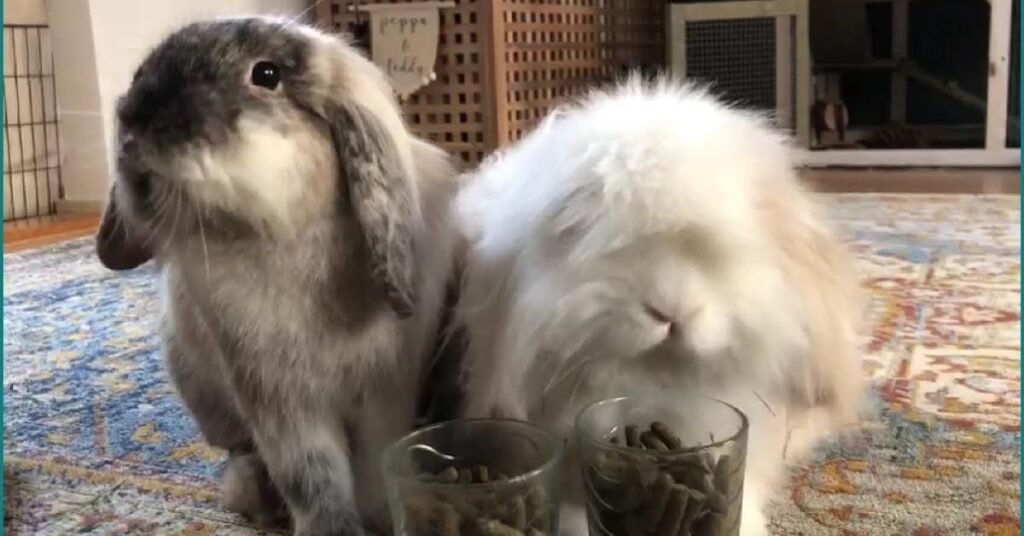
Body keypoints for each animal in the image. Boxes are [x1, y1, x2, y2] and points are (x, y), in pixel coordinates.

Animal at [94, 16, 461, 536]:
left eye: (266, 74)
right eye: (142, 70)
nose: (135, 128)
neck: (276, 237)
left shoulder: (385, 390)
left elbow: (375, 465)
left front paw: (387, 518)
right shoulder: (277, 399)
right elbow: (311, 476)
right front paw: (333, 529)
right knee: (240, 453)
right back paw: (254, 497)